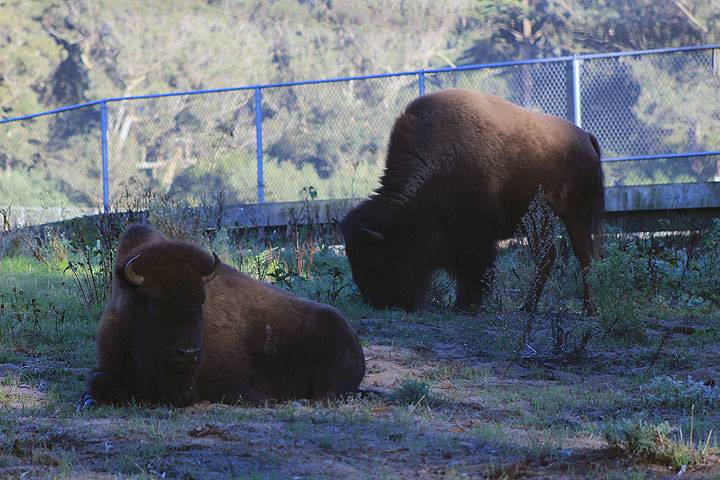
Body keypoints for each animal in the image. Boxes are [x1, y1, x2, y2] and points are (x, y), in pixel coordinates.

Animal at [78, 224, 365, 408]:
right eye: (154, 300)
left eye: (200, 301)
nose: (188, 353)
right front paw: (89, 401)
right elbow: (96, 383)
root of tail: (352, 337)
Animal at [341, 88, 604, 314]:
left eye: (377, 258)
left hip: (576, 215)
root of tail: (585, 137)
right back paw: (528, 306)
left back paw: (588, 309)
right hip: (539, 222)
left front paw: (464, 305)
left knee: (583, 257)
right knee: (548, 257)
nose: (376, 302)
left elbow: (474, 269)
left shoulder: (476, 234)